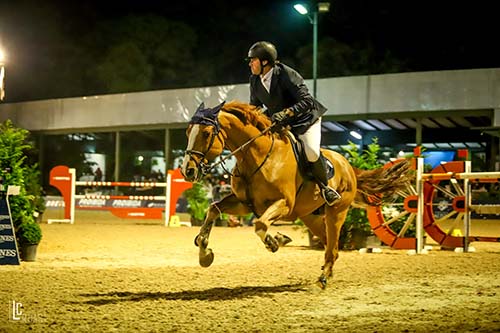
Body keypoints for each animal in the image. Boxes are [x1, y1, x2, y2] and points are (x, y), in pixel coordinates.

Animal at [182, 100, 412, 286]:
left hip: (336, 212)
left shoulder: (283, 203)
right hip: (310, 216)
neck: (257, 156)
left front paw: (274, 242)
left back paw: (323, 278)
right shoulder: (243, 203)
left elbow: (260, 225)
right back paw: (324, 270)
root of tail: (348, 165)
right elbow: (213, 209)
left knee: (333, 244)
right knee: (329, 244)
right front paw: (204, 253)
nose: (188, 171)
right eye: (187, 132)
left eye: (206, 133)